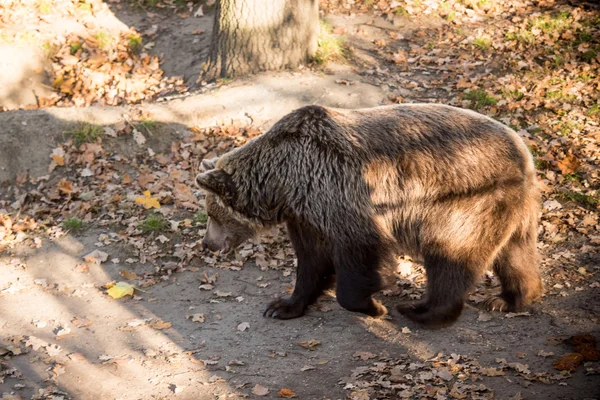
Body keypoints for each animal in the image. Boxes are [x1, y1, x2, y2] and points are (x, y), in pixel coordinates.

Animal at [196, 104, 544, 328]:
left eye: (211, 213)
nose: (207, 244)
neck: (286, 180)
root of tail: (524, 152)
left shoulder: (340, 192)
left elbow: (359, 252)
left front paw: (373, 305)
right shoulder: (307, 213)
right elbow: (312, 262)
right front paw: (283, 306)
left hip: (464, 203)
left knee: (451, 256)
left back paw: (421, 311)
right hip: (511, 209)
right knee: (515, 254)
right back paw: (510, 299)